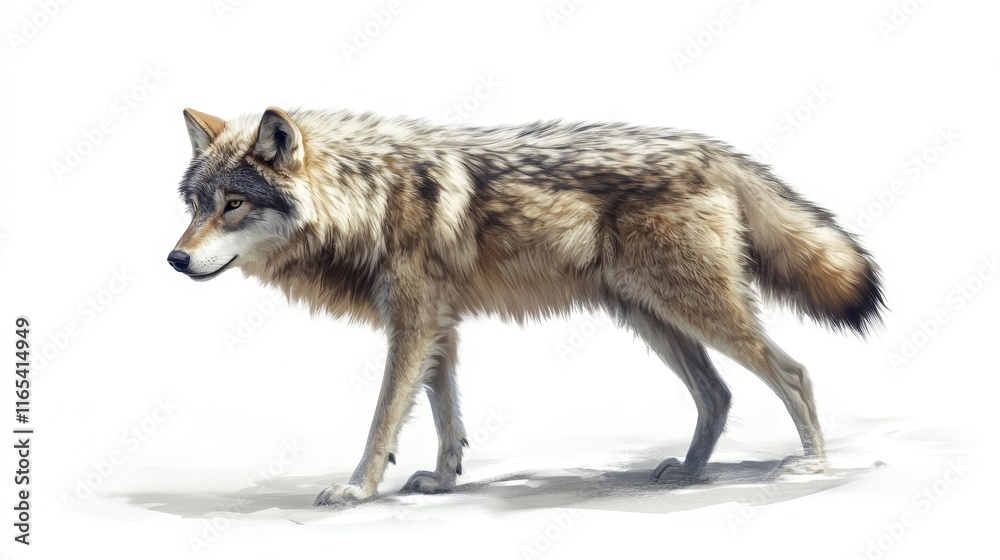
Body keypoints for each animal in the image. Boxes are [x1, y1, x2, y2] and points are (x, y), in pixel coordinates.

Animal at [168, 107, 885, 506]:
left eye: (234, 205)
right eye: (196, 205)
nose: (174, 260)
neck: (367, 197)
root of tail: (712, 149)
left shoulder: (414, 324)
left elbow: (382, 421)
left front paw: (357, 490)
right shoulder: (439, 328)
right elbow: (446, 418)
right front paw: (444, 481)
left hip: (696, 312)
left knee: (793, 374)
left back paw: (810, 467)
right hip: (654, 319)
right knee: (718, 394)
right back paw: (686, 472)